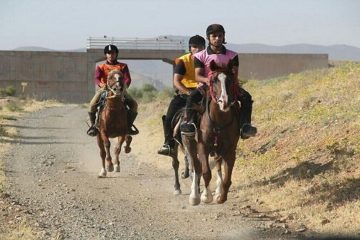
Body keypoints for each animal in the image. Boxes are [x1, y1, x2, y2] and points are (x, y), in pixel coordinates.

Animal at [188, 60, 242, 204]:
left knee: (217, 165)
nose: (225, 102)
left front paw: (221, 197)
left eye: (230, 79)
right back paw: (194, 196)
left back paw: (217, 191)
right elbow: (206, 172)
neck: (219, 122)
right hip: (190, 145)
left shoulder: (230, 150)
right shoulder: (203, 147)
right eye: (213, 80)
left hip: (218, 150)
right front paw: (206, 196)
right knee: (196, 167)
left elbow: (227, 178)